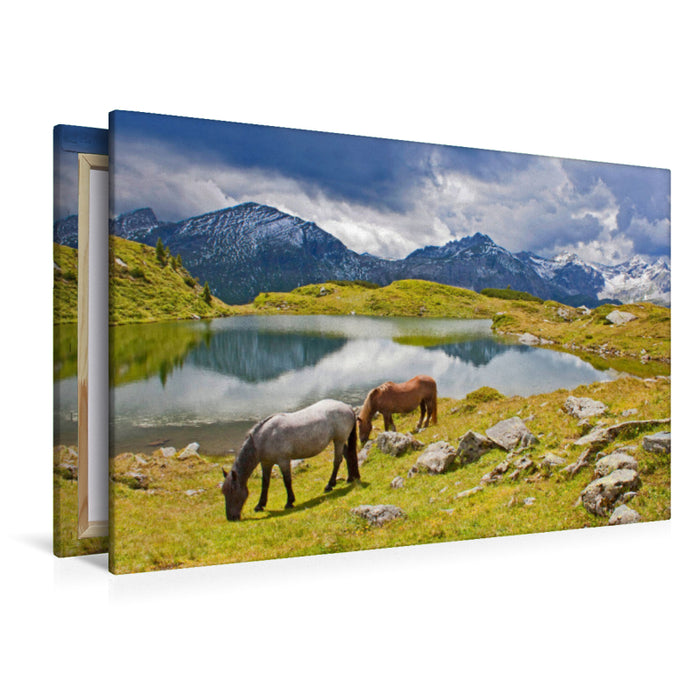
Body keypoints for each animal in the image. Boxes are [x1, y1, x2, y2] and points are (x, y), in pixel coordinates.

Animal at [221, 399, 360, 521]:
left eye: (232, 491)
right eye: (224, 492)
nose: (231, 517)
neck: (264, 438)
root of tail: (347, 407)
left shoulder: (283, 461)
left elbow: (287, 480)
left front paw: (289, 502)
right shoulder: (266, 463)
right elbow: (265, 483)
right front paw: (260, 505)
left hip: (339, 440)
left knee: (337, 461)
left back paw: (330, 485)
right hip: (339, 441)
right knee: (348, 455)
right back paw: (350, 478)